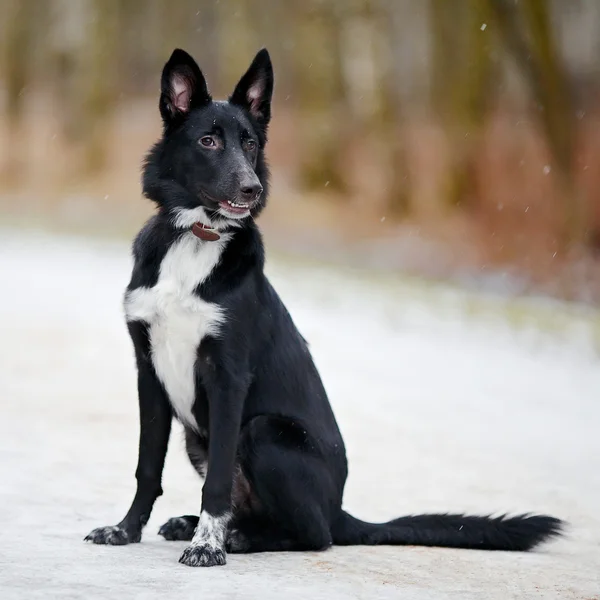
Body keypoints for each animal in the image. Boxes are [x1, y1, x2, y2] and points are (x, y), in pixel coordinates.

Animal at [84, 48, 564, 568]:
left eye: (250, 144)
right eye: (208, 140)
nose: (252, 188)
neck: (195, 238)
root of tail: (340, 509)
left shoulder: (228, 377)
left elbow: (217, 484)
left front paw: (208, 546)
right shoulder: (148, 371)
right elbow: (147, 466)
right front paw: (125, 530)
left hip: (264, 431)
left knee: (314, 533)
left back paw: (236, 537)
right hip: (200, 436)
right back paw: (198, 526)